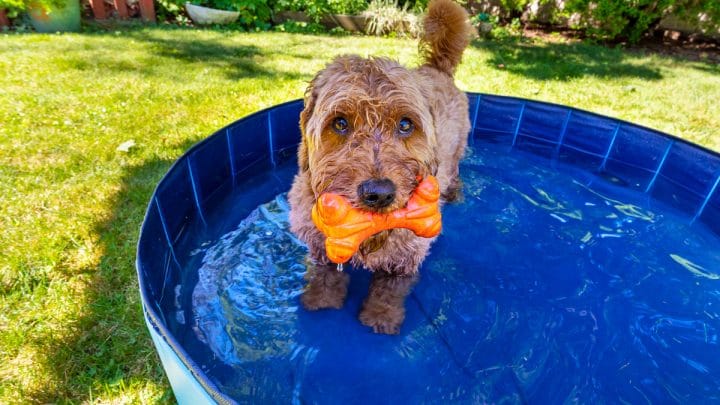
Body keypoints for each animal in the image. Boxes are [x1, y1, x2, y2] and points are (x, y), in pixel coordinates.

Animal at [286, 0, 472, 334]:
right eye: (340, 123)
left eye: (405, 124)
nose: (379, 193)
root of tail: (436, 67)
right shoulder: (320, 244)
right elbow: (325, 274)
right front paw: (321, 301)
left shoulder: (407, 255)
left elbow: (390, 289)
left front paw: (381, 317)